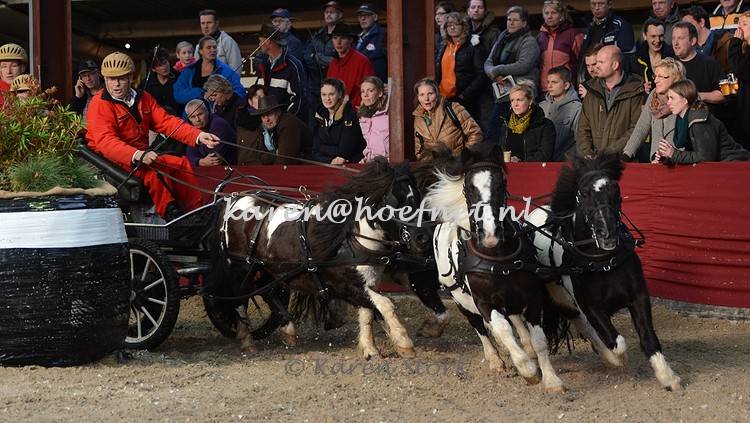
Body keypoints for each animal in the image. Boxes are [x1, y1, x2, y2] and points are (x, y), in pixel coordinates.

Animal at [212, 157, 420, 360]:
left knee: (265, 290)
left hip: (266, 268)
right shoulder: (346, 285)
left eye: (418, 197)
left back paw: (288, 329)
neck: (350, 237)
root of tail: (235, 198)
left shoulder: (366, 283)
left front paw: (370, 349)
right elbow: (385, 305)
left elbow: (369, 313)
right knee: (239, 297)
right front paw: (404, 343)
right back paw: (247, 339)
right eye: (397, 200)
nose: (420, 237)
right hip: (240, 267)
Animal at [424, 146, 564, 394]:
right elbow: (502, 330)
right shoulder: (485, 304)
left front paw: (551, 379)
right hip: (462, 302)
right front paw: (527, 370)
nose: (490, 234)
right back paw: (495, 359)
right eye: (469, 187)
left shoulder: (532, 298)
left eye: (501, 182)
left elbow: (539, 341)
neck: (496, 258)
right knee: (481, 328)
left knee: (516, 322)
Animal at [524, 154, 684, 392]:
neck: (603, 262)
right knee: (584, 325)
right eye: (583, 193)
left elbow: (648, 338)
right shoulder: (591, 307)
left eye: (616, 191)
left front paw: (668, 377)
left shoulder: (638, 297)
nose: (606, 232)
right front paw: (618, 359)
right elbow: (616, 341)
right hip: (560, 299)